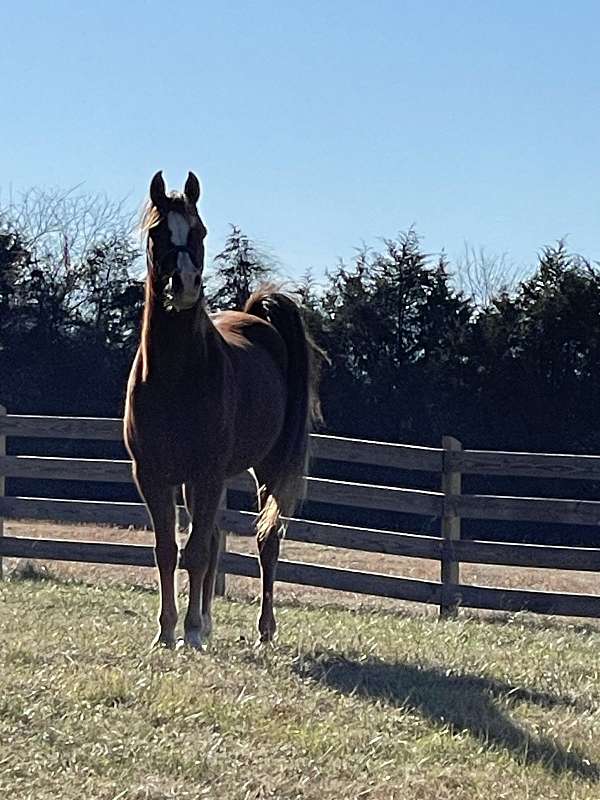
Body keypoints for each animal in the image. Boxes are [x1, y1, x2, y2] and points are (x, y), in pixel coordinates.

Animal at [124, 171, 319, 649]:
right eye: (157, 233)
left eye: (199, 232)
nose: (185, 285)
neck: (175, 375)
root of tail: (259, 322)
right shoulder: (152, 475)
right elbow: (168, 551)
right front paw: (168, 631)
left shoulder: (207, 472)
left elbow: (194, 552)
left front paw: (191, 633)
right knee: (214, 538)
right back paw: (209, 622)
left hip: (264, 469)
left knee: (267, 542)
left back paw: (264, 631)